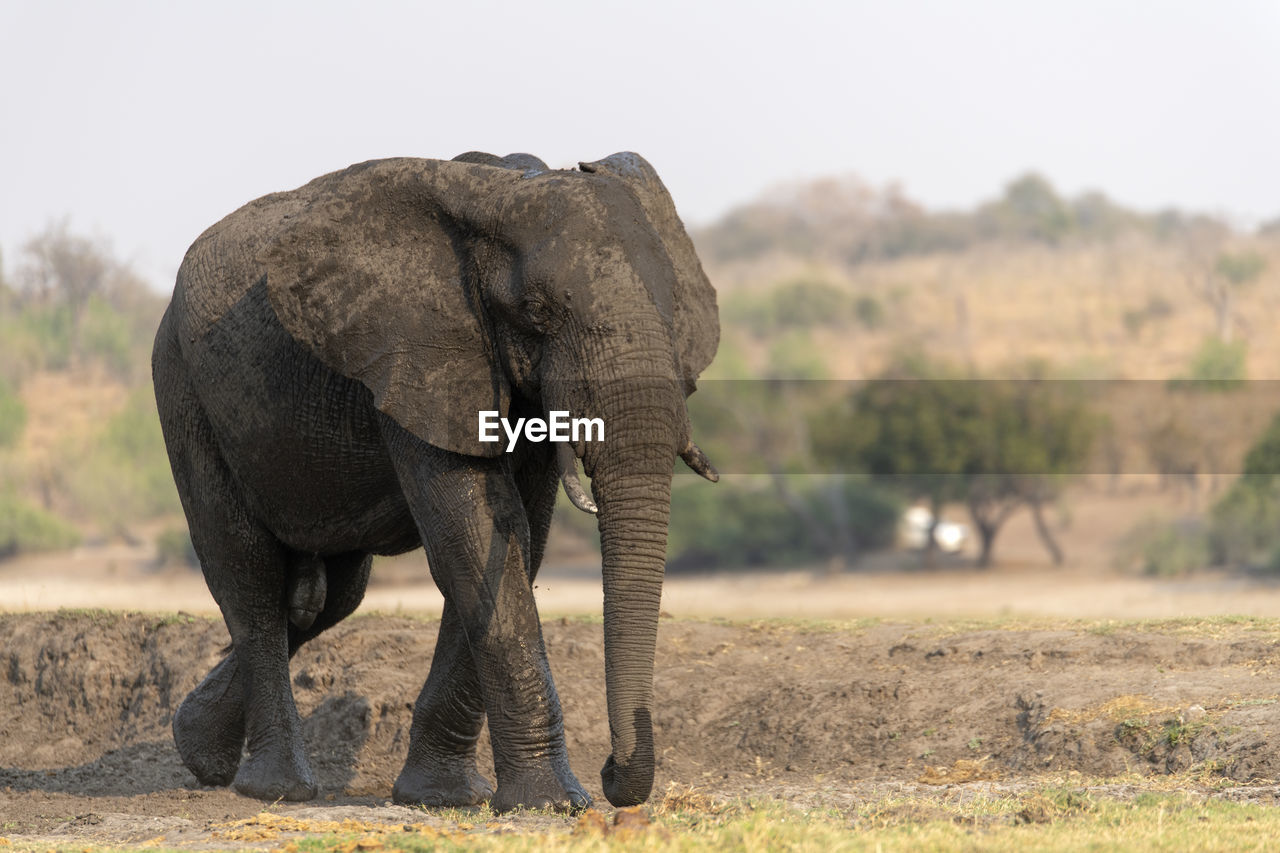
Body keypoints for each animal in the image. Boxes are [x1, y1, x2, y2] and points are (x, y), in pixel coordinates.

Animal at [149, 147, 721, 809]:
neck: (499, 196)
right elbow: (476, 534)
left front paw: (444, 796)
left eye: (672, 311)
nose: (610, 772)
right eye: (536, 314)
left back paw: (197, 748)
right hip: (184, 389)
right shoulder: (415, 355)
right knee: (249, 576)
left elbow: (515, 540)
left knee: (330, 596)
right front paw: (553, 802)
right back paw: (277, 789)